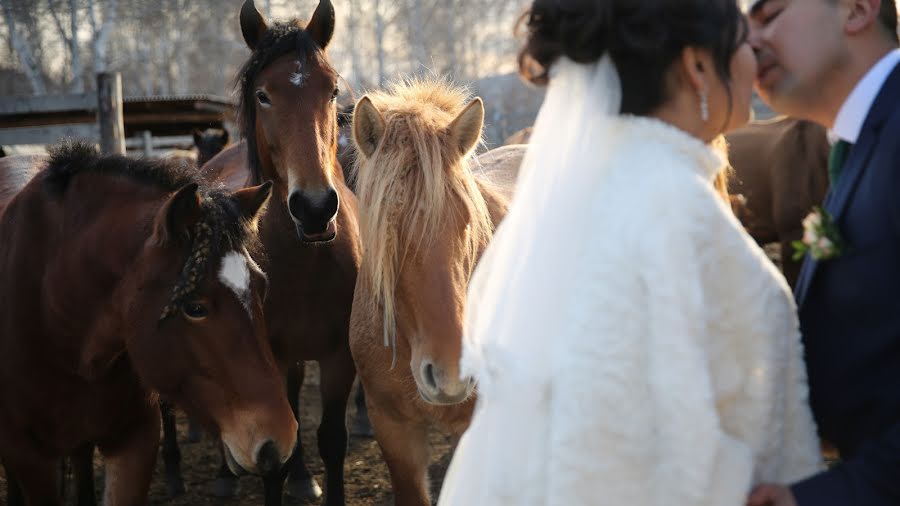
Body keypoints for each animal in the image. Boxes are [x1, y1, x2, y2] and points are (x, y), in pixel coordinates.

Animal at [188, 1, 360, 504]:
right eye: (263, 95)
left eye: (332, 91)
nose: (315, 207)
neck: (307, 261)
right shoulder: (267, 356)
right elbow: (273, 461)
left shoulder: (339, 356)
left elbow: (332, 439)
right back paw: (226, 477)